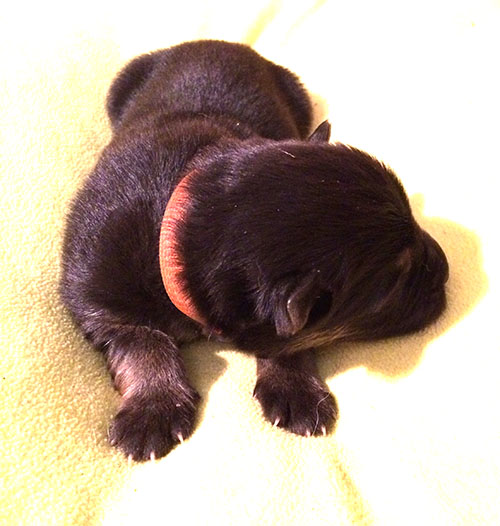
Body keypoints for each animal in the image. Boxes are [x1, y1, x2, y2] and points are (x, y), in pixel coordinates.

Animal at [61, 40, 449, 461]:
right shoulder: (96, 301)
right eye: (396, 279)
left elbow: (289, 340)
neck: (183, 224)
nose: (447, 268)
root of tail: (219, 43)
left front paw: (296, 390)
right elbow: (143, 341)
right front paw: (152, 412)